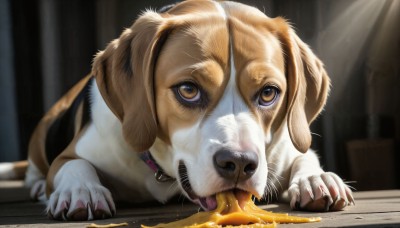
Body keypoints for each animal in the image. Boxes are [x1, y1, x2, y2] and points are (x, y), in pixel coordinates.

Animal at [10, 0, 354, 221]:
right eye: (188, 90)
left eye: (269, 93)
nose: (240, 163)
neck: (163, 173)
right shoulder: (72, 154)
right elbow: (74, 165)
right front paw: (83, 190)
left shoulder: (282, 153)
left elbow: (305, 157)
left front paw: (317, 180)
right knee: (37, 168)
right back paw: (39, 184)